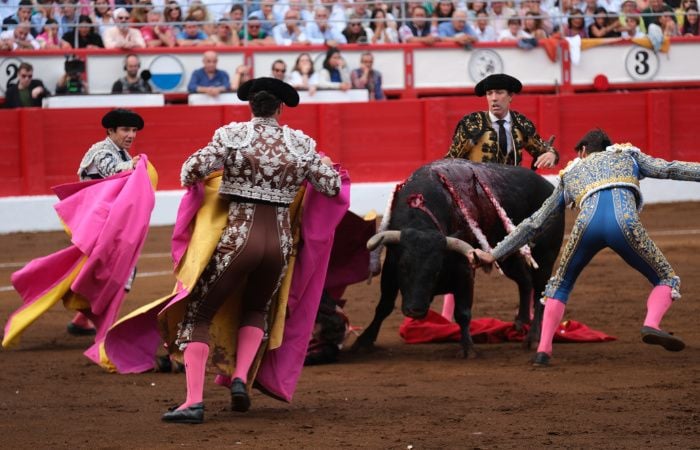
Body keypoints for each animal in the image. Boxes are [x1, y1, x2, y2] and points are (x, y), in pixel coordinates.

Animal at [352, 160, 568, 356]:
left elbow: (463, 312)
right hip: (508, 256)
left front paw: (467, 348)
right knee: (524, 281)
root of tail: (551, 187)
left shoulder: (464, 270)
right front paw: (364, 341)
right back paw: (520, 322)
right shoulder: (390, 267)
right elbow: (384, 306)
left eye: (436, 270)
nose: (415, 311)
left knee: (539, 293)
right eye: (404, 267)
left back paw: (532, 338)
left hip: (545, 256)